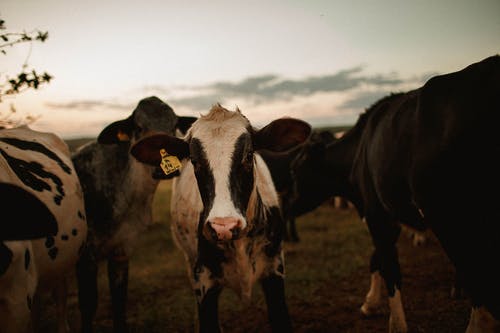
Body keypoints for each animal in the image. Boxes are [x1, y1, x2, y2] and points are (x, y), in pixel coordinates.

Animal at [71, 96, 196, 332]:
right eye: (138, 127)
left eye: (174, 125)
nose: (162, 163)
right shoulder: (86, 254)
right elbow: (88, 304)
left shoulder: (122, 249)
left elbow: (119, 301)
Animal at [290, 53, 500, 330]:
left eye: (297, 169)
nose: (284, 202)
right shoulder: (388, 214)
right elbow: (376, 258)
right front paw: (370, 303)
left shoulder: (376, 212)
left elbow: (389, 267)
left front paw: (395, 323)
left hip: (453, 219)